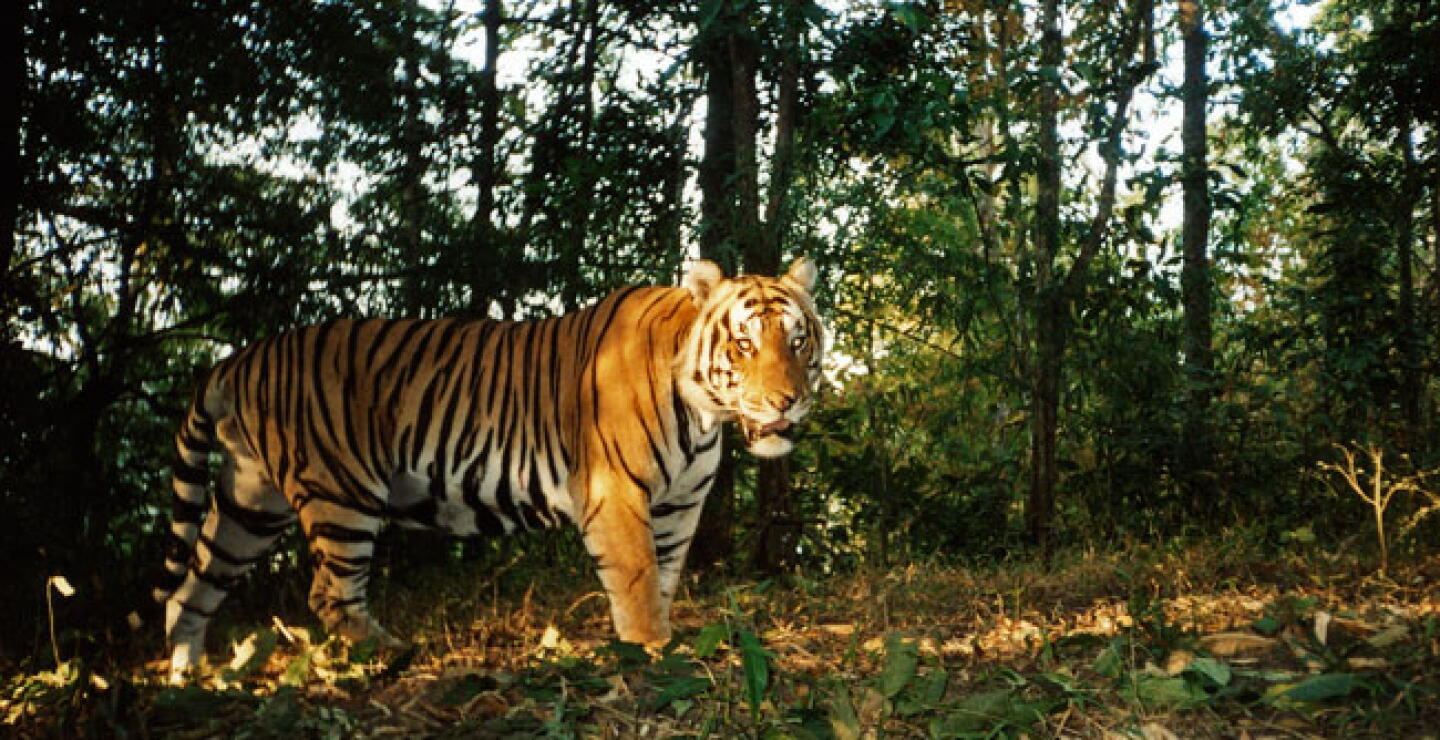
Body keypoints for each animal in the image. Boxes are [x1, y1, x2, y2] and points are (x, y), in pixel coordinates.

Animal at [154, 258, 824, 680]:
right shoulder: (618, 494)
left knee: (191, 586)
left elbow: (661, 579)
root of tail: (238, 358)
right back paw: (392, 654)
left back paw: (188, 677)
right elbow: (636, 583)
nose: (786, 401)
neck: (704, 415)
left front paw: (658, 641)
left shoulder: (680, 506)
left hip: (250, 504)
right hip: (339, 492)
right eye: (744, 344)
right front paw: (654, 651)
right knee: (330, 594)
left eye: (797, 341)